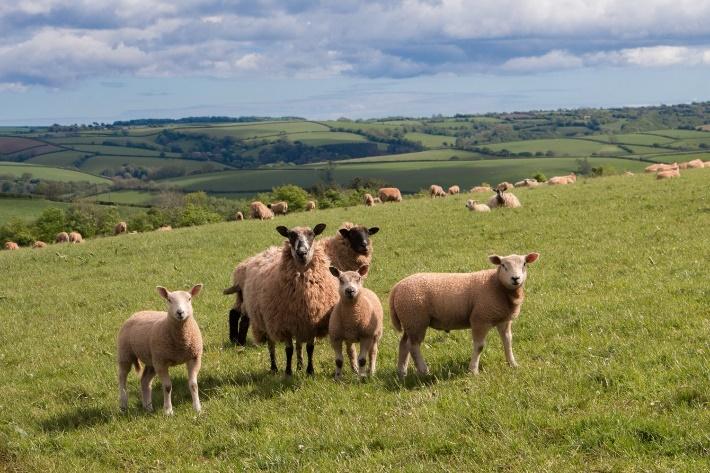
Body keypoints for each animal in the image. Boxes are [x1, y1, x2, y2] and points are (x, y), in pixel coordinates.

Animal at [117, 284, 204, 412]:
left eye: (189, 299)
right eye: (169, 300)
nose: (180, 312)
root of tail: (138, 312)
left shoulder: (194, 357)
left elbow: (193, 384)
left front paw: (197, 408)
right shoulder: (161, 362)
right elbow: (167, 386)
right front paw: (168, 410)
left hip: (152, 360)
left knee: (145, 381)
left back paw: (148, 407)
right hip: (125, 354)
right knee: (122, 377)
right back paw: (123, 405)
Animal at [390, 251, 540, 376]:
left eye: (524, 264)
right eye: (503, 265)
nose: (515, 278)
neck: (496, 284)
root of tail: (397, 287)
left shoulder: (504, 319)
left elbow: (508, 341)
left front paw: (513, 364)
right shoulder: (480, 319)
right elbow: (479, 346)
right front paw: (473, 370)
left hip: (410, 320)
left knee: (404, 344)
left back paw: (402, 372)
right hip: (416, 319)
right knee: (414, 346)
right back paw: (424, 371)